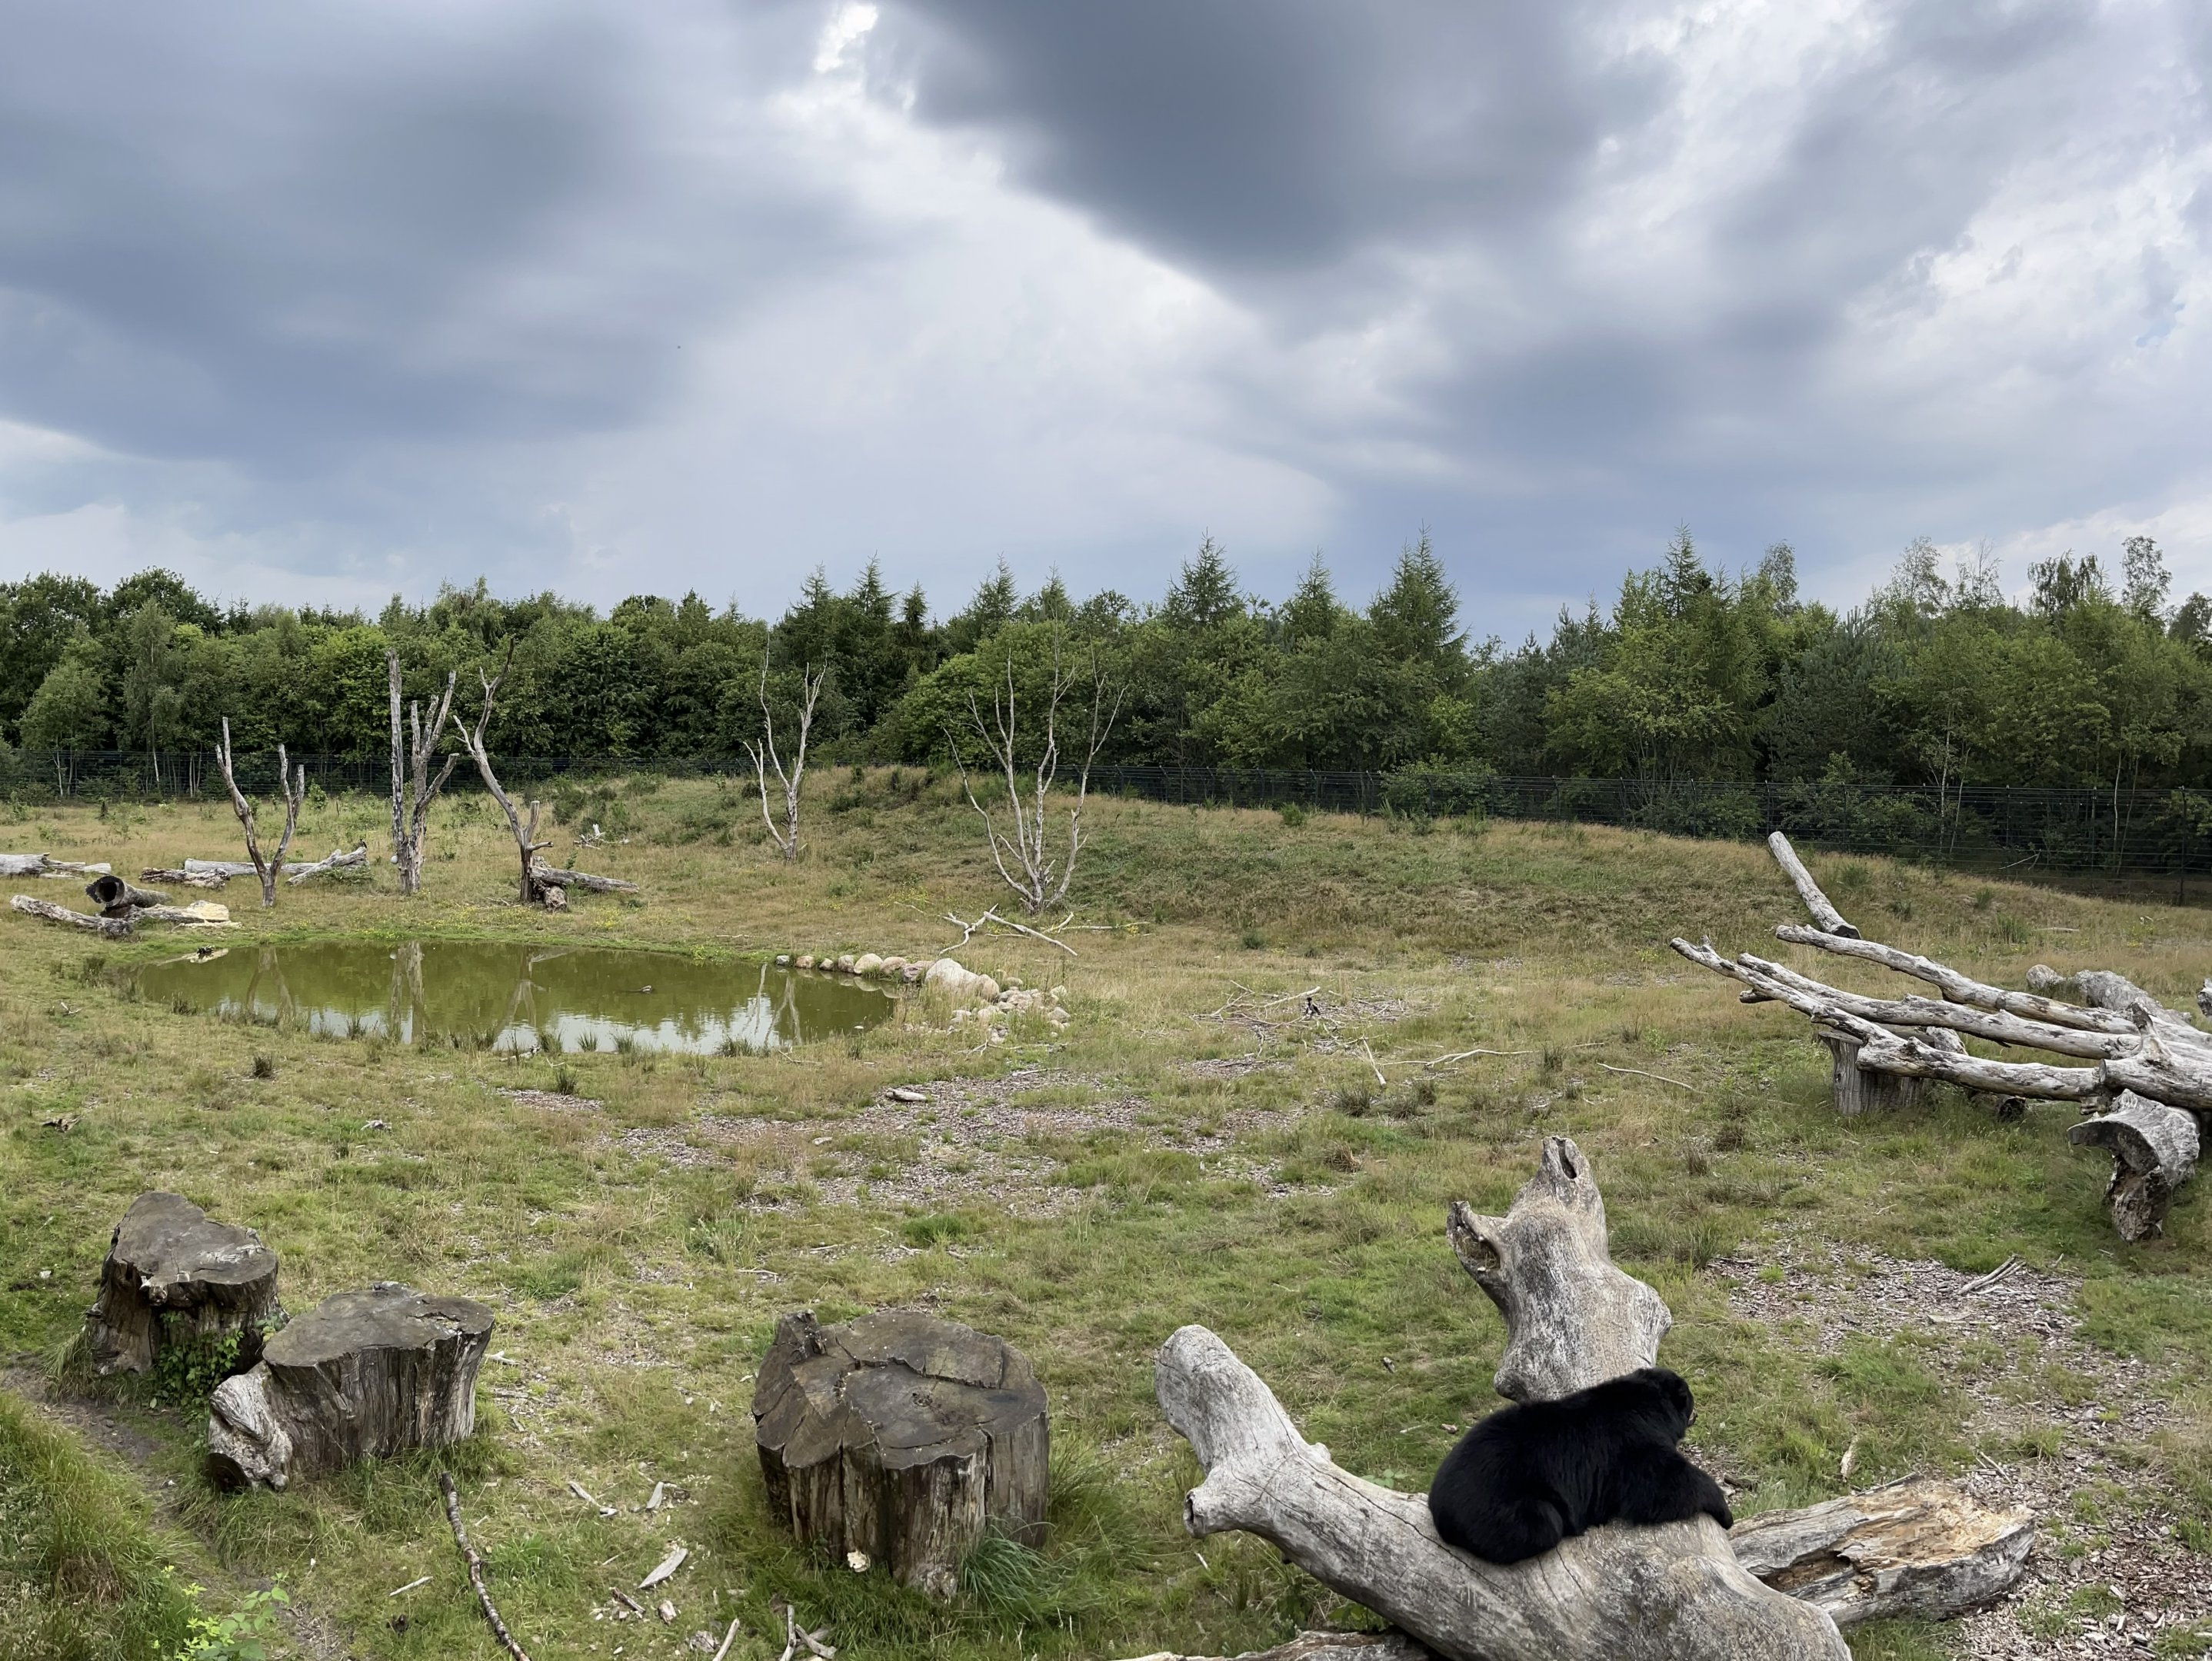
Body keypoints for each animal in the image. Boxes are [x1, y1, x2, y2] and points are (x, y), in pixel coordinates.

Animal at [1426, 1365, 1732, 1564]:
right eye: (1689, 1399)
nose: (1695, 1412)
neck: (1645, 1405)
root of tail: (1438, 1508)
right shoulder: (1629, 1441)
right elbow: (1658, 1485)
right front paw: (1724, 1511)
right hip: (1501, 1508)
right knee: (1542, 1524)